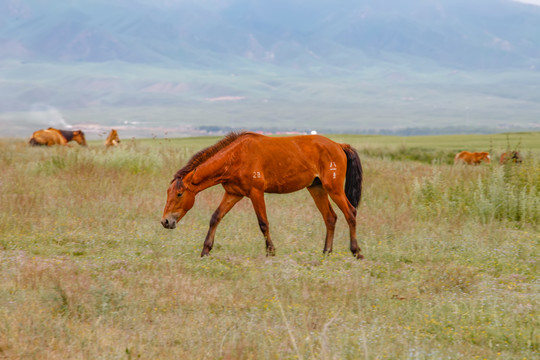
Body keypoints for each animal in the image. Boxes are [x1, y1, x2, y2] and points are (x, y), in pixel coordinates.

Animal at [160, 132, 362, 258]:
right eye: (168, 192)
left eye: (179, 194)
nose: (165, 221)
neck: (236, 156)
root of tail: (338, 145)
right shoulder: (233, 194)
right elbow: (215, 218)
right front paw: (205, 251)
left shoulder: (256, 193)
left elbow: (263, 223)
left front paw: (271, 252)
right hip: (317, 188)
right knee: (330, 217)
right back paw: (326, 252)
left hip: (334, 189)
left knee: (350, 213)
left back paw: (356, 252)